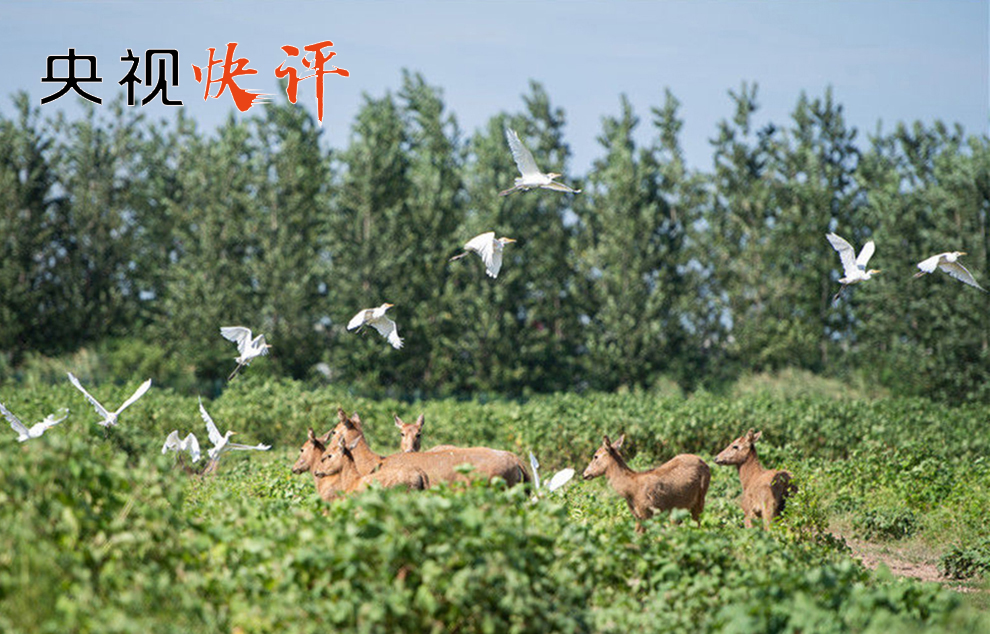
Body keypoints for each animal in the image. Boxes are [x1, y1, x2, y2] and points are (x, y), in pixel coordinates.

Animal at [582, 434, 711, 533]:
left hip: (700, 498)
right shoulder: (638, 516)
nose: (585, 474)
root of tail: (705, 463)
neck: (629, 490)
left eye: (595, 456)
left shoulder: (647, 513)